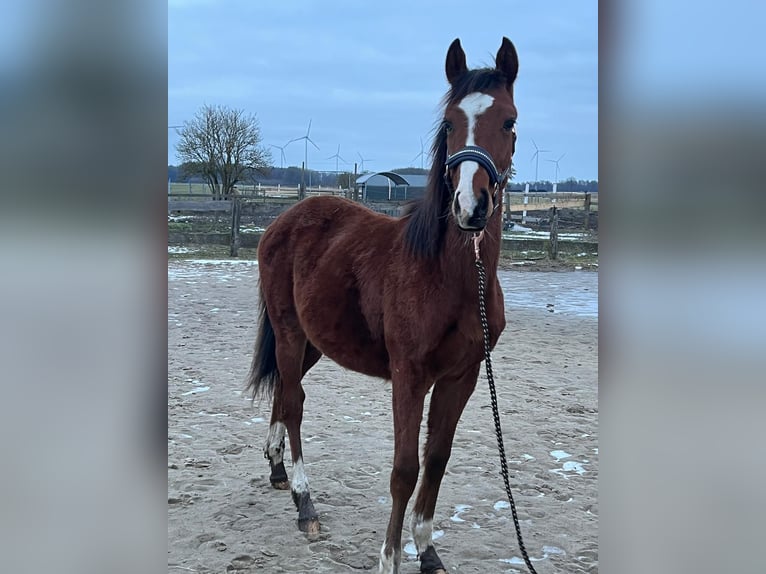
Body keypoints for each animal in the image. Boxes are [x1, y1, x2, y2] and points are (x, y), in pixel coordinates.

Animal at [247, 37, 519, 574]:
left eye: (509, 121)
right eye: (449, 123)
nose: (471, 207)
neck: (449, 276)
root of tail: (284, 219)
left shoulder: (463, 377)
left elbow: (436, 460)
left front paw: (428, 551)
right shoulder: (409, 375)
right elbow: (404, 468)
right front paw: (390, 557)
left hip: (313, 342)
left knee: (284, 395)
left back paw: (277, 470)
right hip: (289, 333)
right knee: (294, 403)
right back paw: (305, 504)